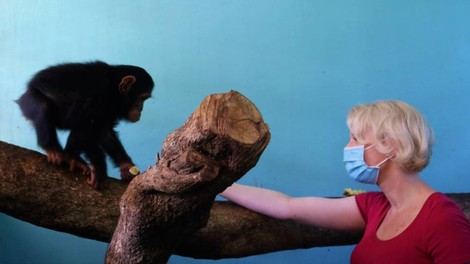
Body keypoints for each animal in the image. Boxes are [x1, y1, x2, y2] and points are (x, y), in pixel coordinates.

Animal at [17, 61, 154, 190]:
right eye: (142, 98)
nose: (141, 108)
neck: (113, 91)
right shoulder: (96, 95)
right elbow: (84, 124)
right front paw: (99, 168)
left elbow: (104, 132)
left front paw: (126, 165)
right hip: (28, 101)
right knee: (43, 106)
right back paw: (53, 149)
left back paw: (71, 157)